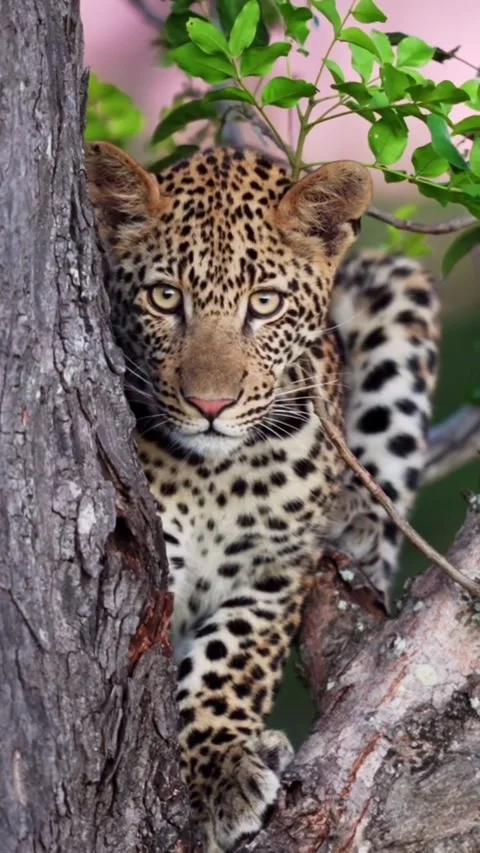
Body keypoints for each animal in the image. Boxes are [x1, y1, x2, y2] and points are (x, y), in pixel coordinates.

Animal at [86, 142, 440, 853]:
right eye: (165, 297)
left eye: (266, 303)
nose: (211, 405)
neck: (216, 477)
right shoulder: (155, 555)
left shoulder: (276, 569)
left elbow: (231, 656)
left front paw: (219, 773)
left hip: (394, 285)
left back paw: (360, 522)